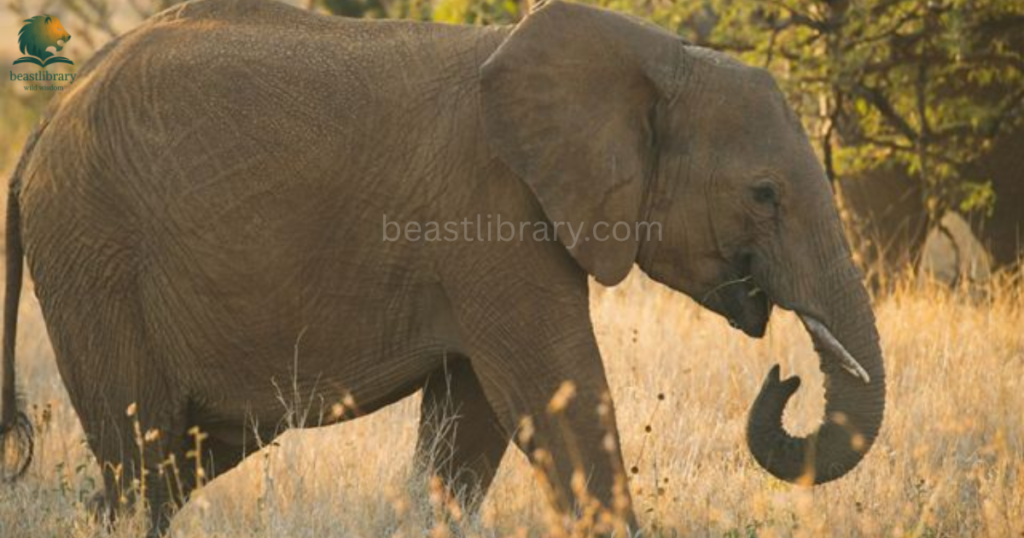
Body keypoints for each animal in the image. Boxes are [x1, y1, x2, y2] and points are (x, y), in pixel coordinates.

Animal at [1, 0, 886, 534]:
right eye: (764, 195)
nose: (785, 376)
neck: (652, 56)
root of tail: (42, 126)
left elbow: (473, 425)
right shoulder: (493, 214)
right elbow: (554, 394)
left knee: (168, 462)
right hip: (96, 260)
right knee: (142, 457)